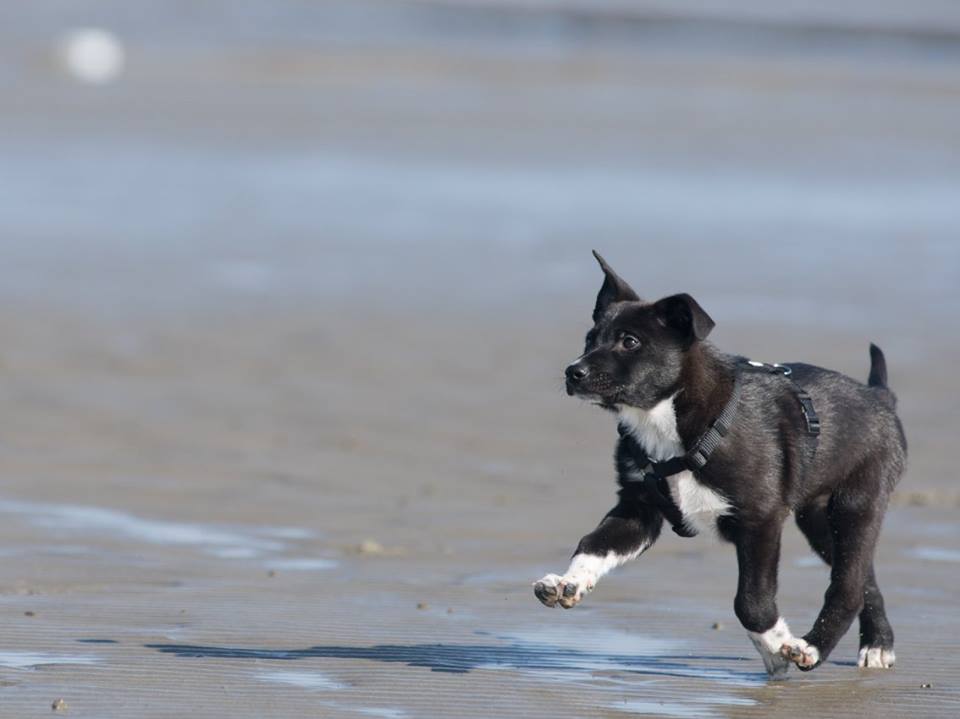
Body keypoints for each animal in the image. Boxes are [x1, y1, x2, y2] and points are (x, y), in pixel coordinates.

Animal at [532, 252, 908, 676]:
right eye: (589, 339)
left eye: (630, 342)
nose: (573, 372)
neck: (668, 423)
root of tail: (880, 397)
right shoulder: (638, 510)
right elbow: (593, 544)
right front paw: (569, 582)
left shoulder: (760, 520)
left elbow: (750, 602)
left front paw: (775, 646)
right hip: (817, 518)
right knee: (864, 578)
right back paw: (877, 644)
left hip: (857, 504)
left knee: (847, 585)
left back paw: (814, 647)